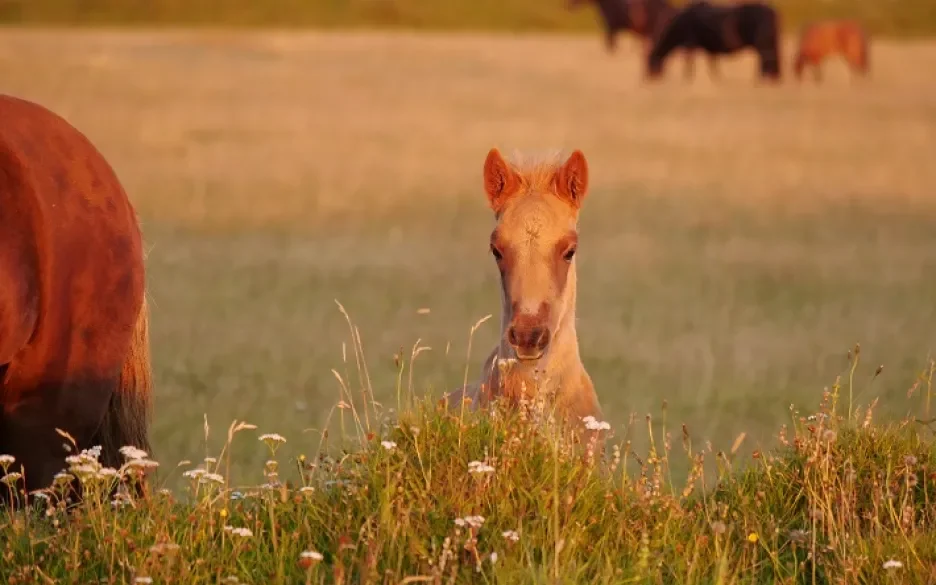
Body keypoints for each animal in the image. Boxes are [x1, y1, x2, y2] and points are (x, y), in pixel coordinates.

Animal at [644, 0, 784, 81]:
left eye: (649, 62)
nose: (648, 78)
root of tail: (772, 11)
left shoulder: (690, 44)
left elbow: (689, 63)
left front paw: (688, 78)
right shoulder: (710, 48)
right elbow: (712, 64)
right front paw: (717, 79)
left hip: (763, 44)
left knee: (767, 60)